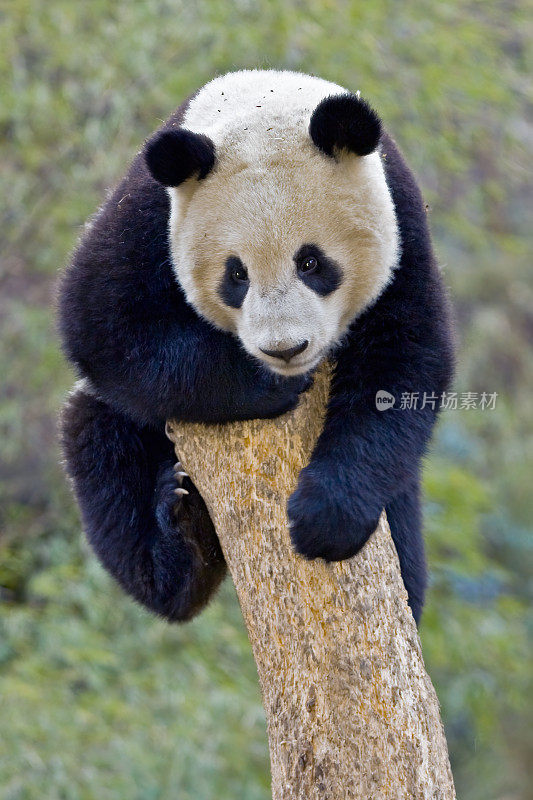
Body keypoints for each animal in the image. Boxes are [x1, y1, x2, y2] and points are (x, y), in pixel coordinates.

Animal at [61, 70, 454, 624]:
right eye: (236, 275)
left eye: (311, 263)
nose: (286, 349)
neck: (261, 105)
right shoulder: (150, 216)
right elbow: (101, 323)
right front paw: (266, 384)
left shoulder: (400, 219)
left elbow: (405, 358)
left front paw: (325, 521)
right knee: (102, 450)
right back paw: (180, 540)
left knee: (405, 537)